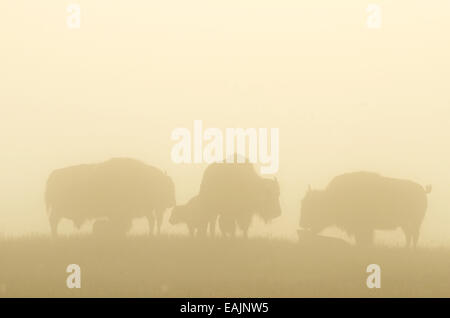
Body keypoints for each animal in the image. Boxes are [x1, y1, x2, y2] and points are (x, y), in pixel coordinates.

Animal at [300, 173, 430, 247]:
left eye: (312, 206)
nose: (302, 223)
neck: (332, 198)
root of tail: (423, 191)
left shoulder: (363, 228)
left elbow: (364, 239)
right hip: (406, 224)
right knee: (409, 235)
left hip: (414, 222)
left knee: (414, 235)